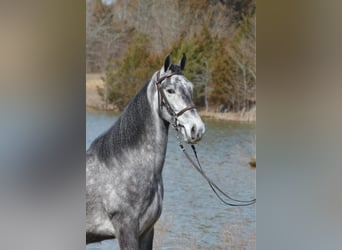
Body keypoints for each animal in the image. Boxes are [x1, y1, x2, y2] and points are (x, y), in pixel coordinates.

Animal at [87, 53, 204, 249]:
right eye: (170, 90)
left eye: (191, 88)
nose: (197, 129)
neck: (125, 164)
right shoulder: (126, 231)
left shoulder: (147, 232)